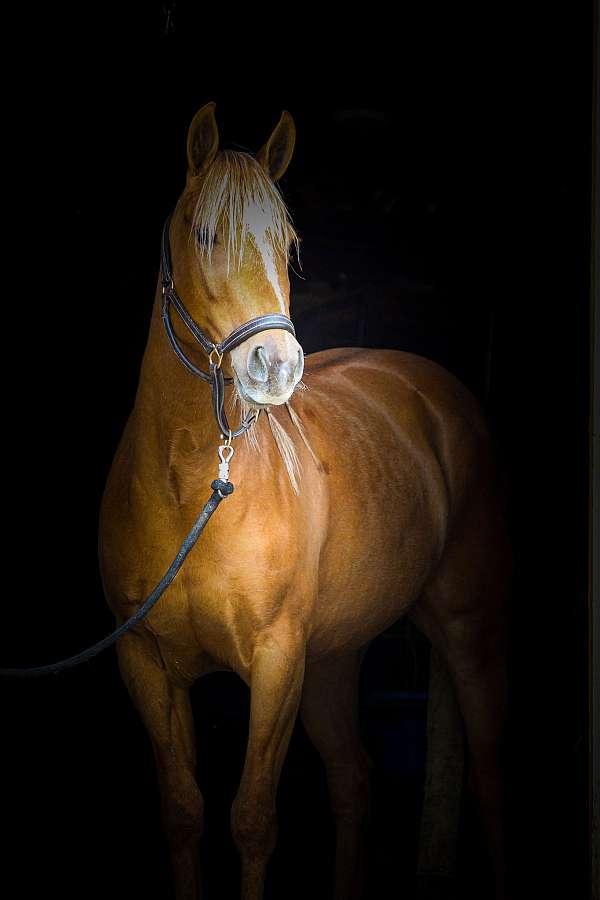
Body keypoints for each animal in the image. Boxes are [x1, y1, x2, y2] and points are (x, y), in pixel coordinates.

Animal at [98, 102, 511, 900]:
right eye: (205, 234)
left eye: (286, 244)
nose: (276, 366)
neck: (193, 486)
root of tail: (437, 392)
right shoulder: (145, 662)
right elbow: (183, 813)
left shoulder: (276, 660)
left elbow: (253, 819)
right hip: (334, 658)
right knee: (353, 782)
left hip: (467, 628)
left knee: (485, 779)